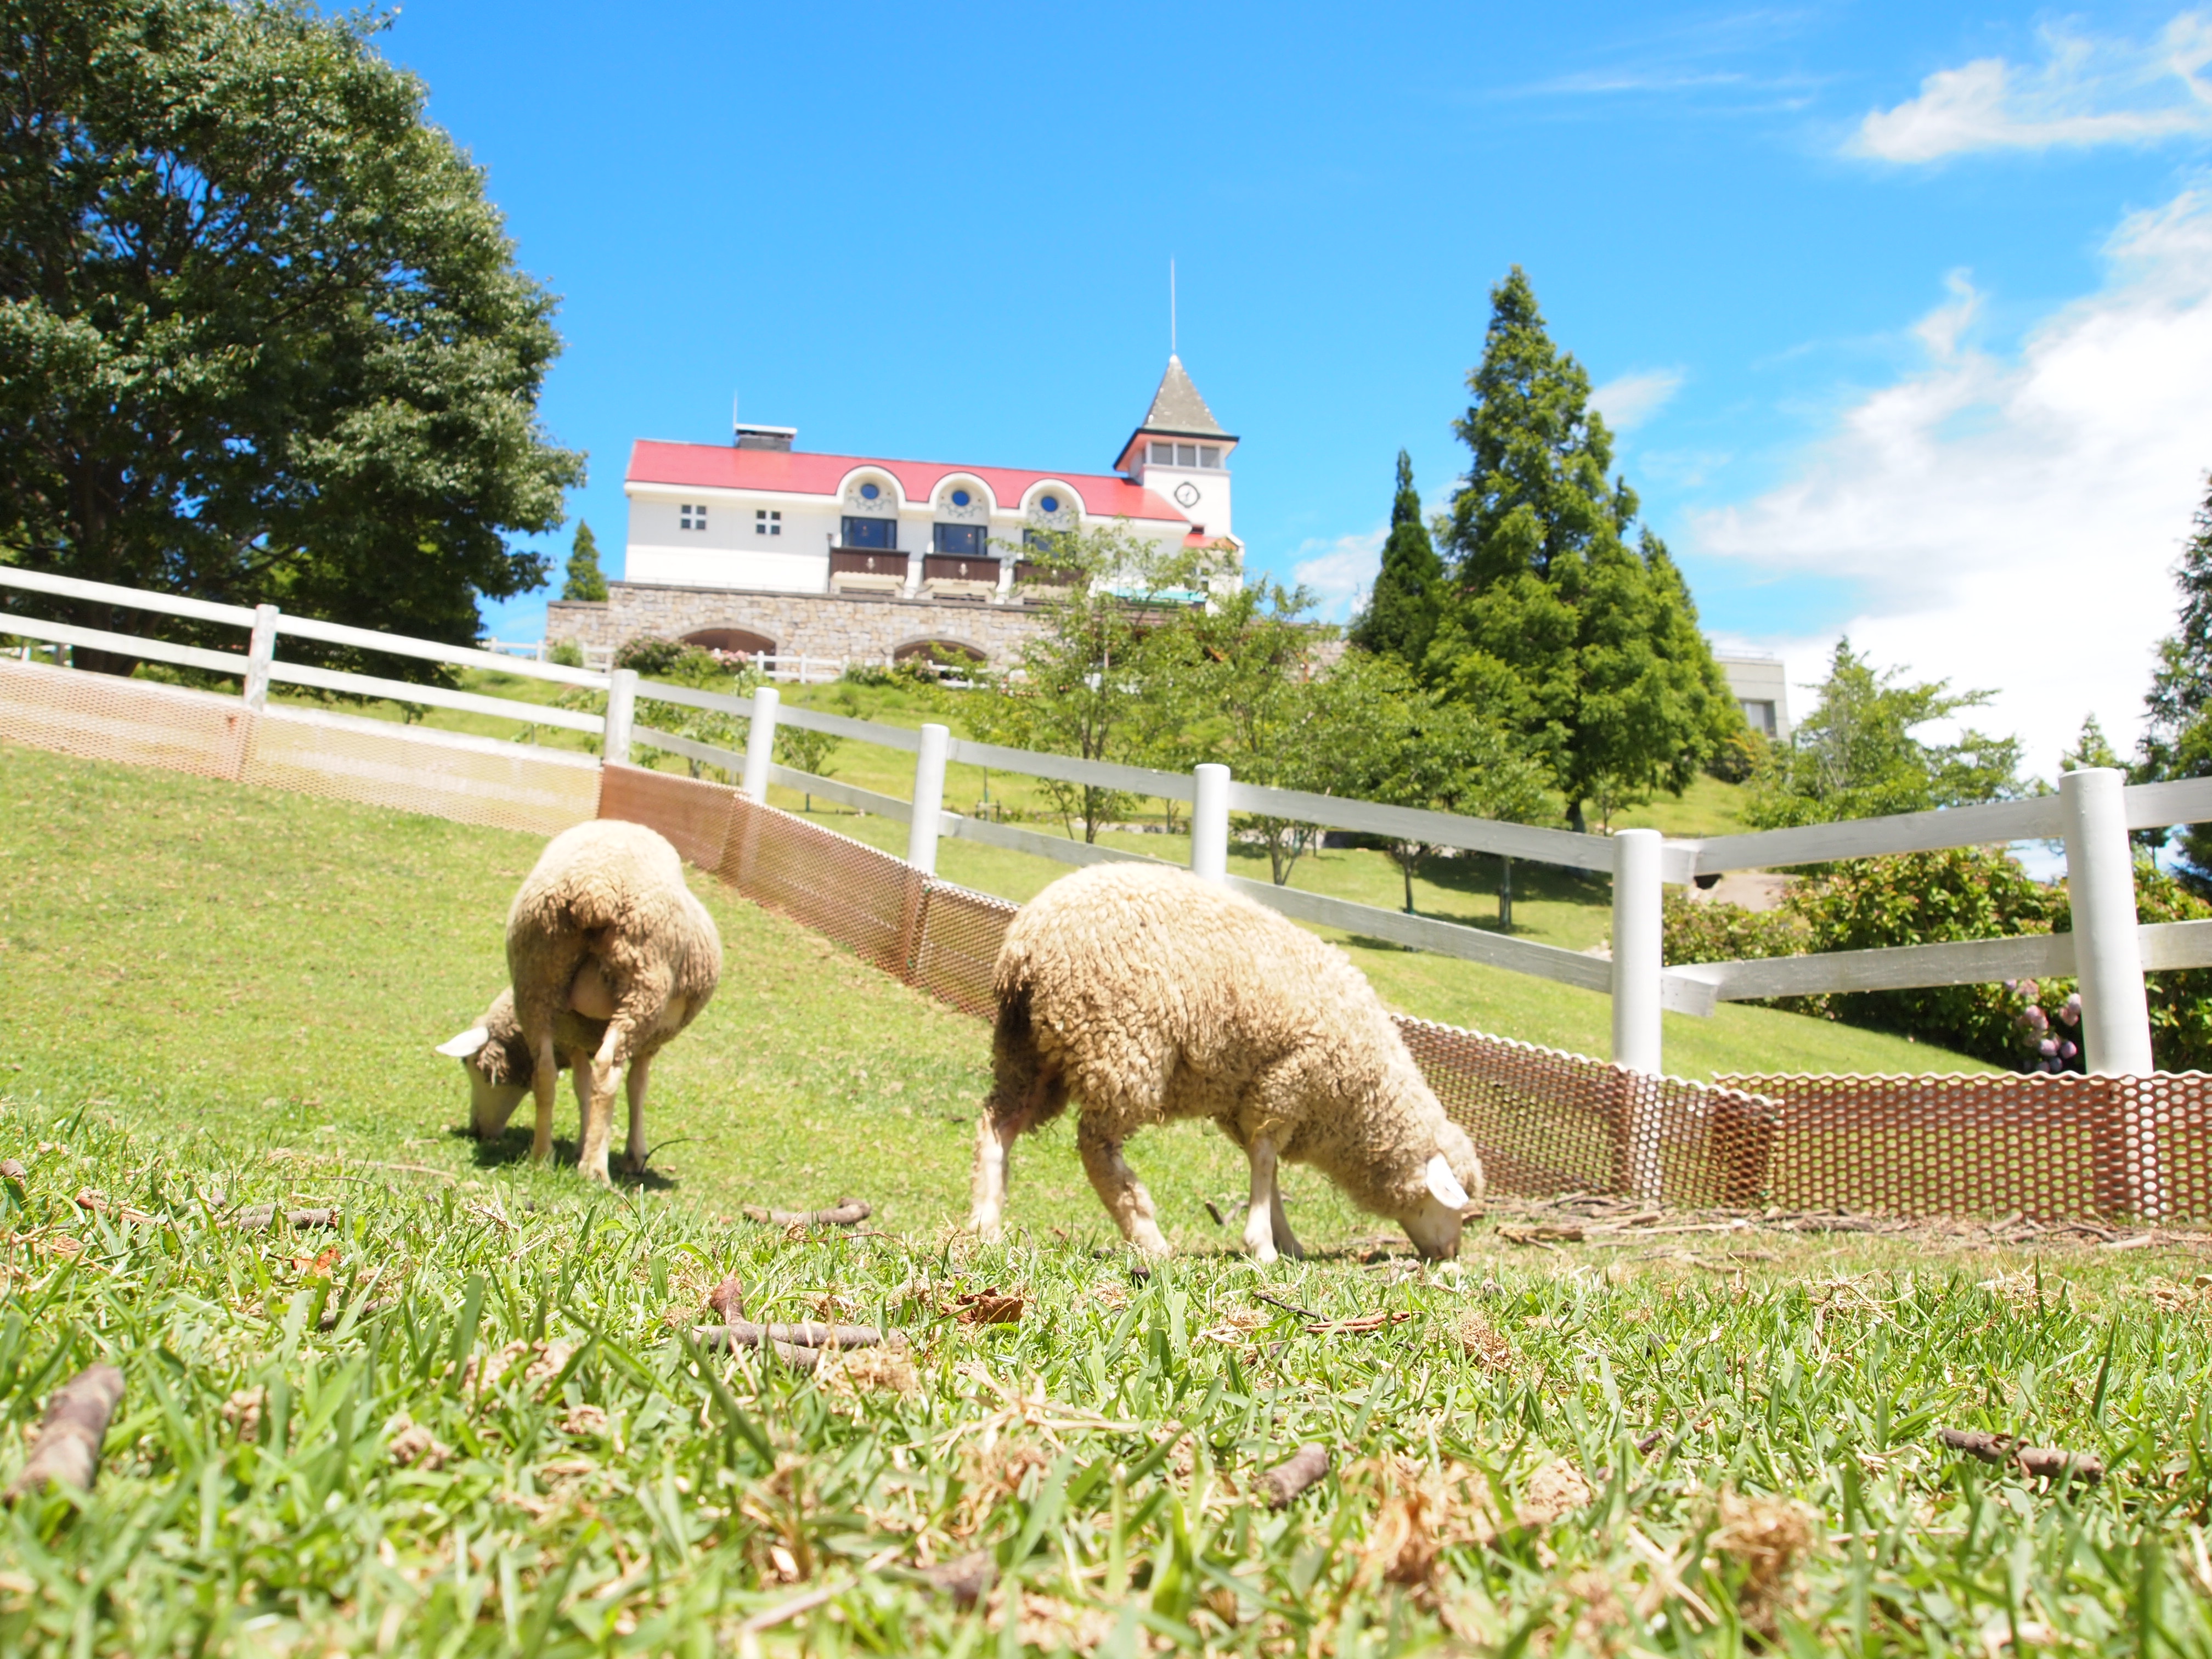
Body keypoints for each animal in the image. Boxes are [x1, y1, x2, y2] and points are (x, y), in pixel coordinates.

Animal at [440, 818, 725, 1186]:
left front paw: (585, 1141)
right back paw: (595, 1170)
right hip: (642, 987)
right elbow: (635, 1087)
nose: (476, 1130)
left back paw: (542, 1156)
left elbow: (582, 1086)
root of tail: (595, 888)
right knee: (607, 1070)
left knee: (545, 1072)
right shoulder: (647, 1041)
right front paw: (630, 1154)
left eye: (471, 1067)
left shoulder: (573, 1035)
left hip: (538, 975)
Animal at [969, 862, 1486, 1265]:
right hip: (1120, 1045)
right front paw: (1264, 1245)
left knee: (999, 1122)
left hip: (1027, 1048)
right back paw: (1150, 1239)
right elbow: (1265, 1162)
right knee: (1097, 1147)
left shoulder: (1251, 1099)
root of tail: (1026, 944)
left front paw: (1287, 1240)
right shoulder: (1284, 1085)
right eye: (1454, 1203)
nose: (1451, 1253)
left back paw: (984, 1226)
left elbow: (1268, 1169)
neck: (1362, 1098)